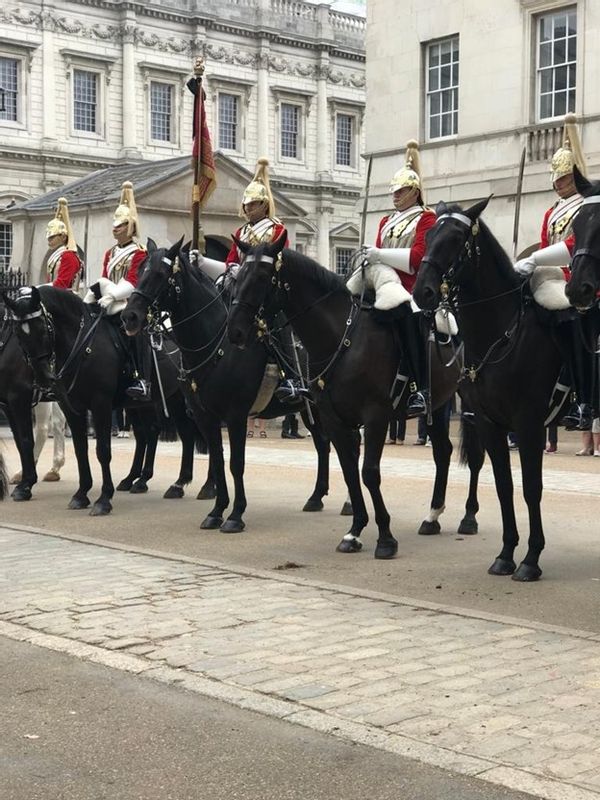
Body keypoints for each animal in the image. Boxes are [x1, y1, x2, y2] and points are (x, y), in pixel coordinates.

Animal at [3, 284, 204, 516]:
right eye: (18, 332)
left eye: (43, 329)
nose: (43, 378)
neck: (81, 345)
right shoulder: (71, 407)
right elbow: (80, 450)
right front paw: (81, 494)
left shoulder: (100, 404)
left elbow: (102, 451)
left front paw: (103, 499)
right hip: (158, 400)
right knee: (161, 433)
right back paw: (155, 482)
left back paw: (202, 487)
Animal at [119, 241, 330, 536]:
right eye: (139, 272)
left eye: (160, 275)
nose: (129, 317)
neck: (215, 344)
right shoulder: (205, 415)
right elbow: (218, 460)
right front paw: (217, 511)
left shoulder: (236, 416)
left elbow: (235, 464)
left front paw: (236, 515)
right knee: (323, 444)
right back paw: (316, 497)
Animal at [227, 231, 486, 556]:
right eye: (238, 277)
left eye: (262, 276)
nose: (235, 331)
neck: (342, 336)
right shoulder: (334, 418)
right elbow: (350, 469)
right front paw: (355, 531)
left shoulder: (375, 416)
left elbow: (369, 472)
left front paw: (385, 537)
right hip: (437, 406)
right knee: (443, 452)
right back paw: (432, 516)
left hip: (470, 405)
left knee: (475, 456)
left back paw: (469, 517)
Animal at [414, 197, 568, 580]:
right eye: (430, 235)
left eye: (455, 239)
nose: (422, 291)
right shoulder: (488, 421)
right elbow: (503, 485)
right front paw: (506, 554)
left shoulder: (528, 425)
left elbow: (531, 488)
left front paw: (531, 559)